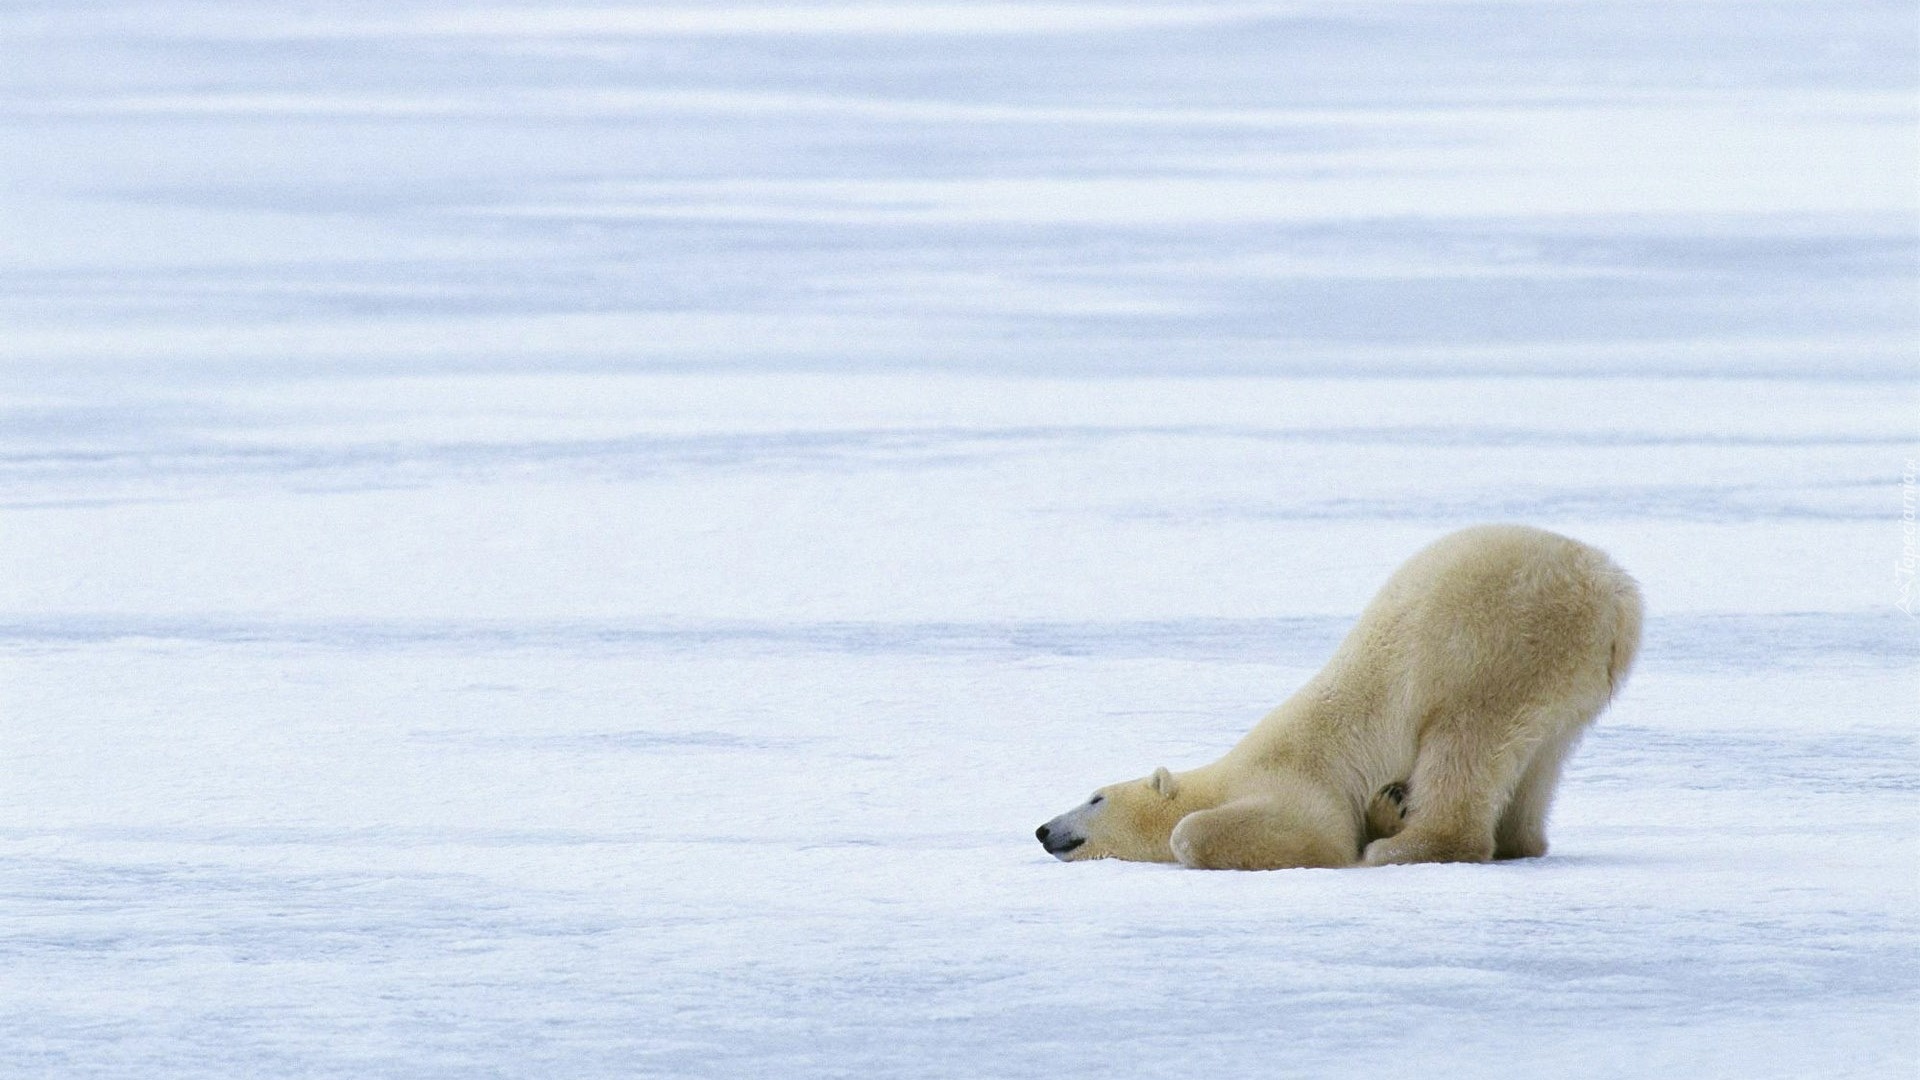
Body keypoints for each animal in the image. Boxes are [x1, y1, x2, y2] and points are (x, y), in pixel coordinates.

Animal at [1036, 522, 1635, 864]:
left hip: (1497, 643)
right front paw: (1388, 806)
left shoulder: (1297, 783)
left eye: (1095, 797)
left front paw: (1369, 834)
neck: (1227, 775)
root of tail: (1613, 590)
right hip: (1569, 679)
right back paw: (1516, 840)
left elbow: (1297, 834)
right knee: (1540, 760)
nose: (1042, 829)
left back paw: (1405, 848)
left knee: (1464, 742)